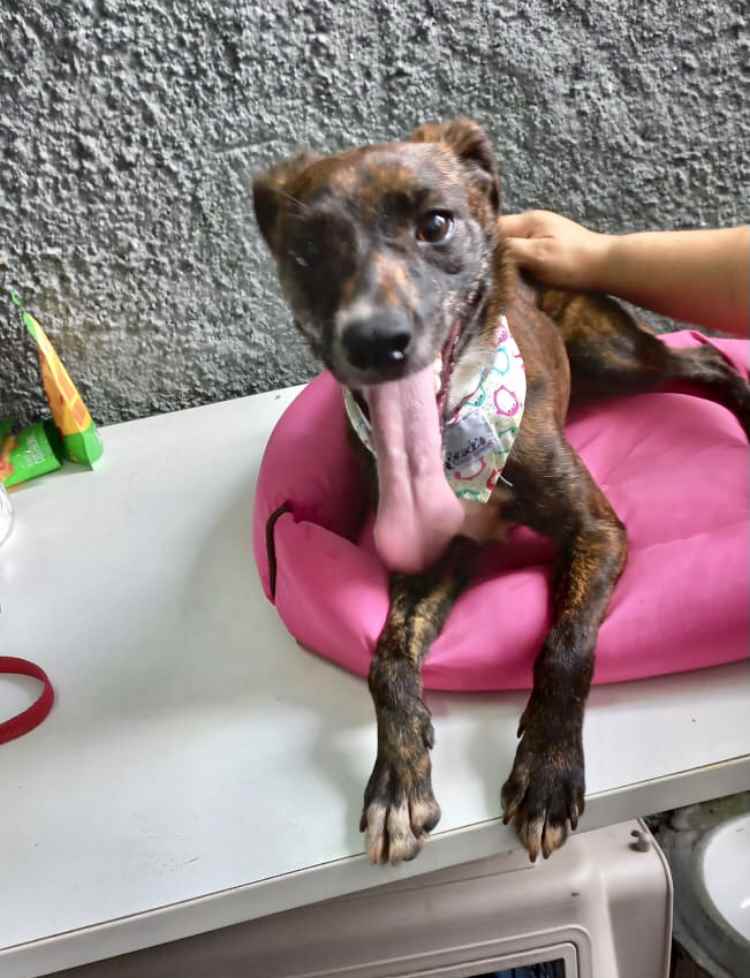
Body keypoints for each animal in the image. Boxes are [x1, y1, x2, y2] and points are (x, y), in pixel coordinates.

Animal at [253, 119, 750, 865]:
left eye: (435, 224)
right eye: (307, 251)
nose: (375, 342)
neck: (455, 437)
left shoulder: (599, 530)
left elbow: (566, 644)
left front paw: (547, 772)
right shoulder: (434, 559)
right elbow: (386, 657)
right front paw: (398, 781)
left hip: (612, 357)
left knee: (708, 359)